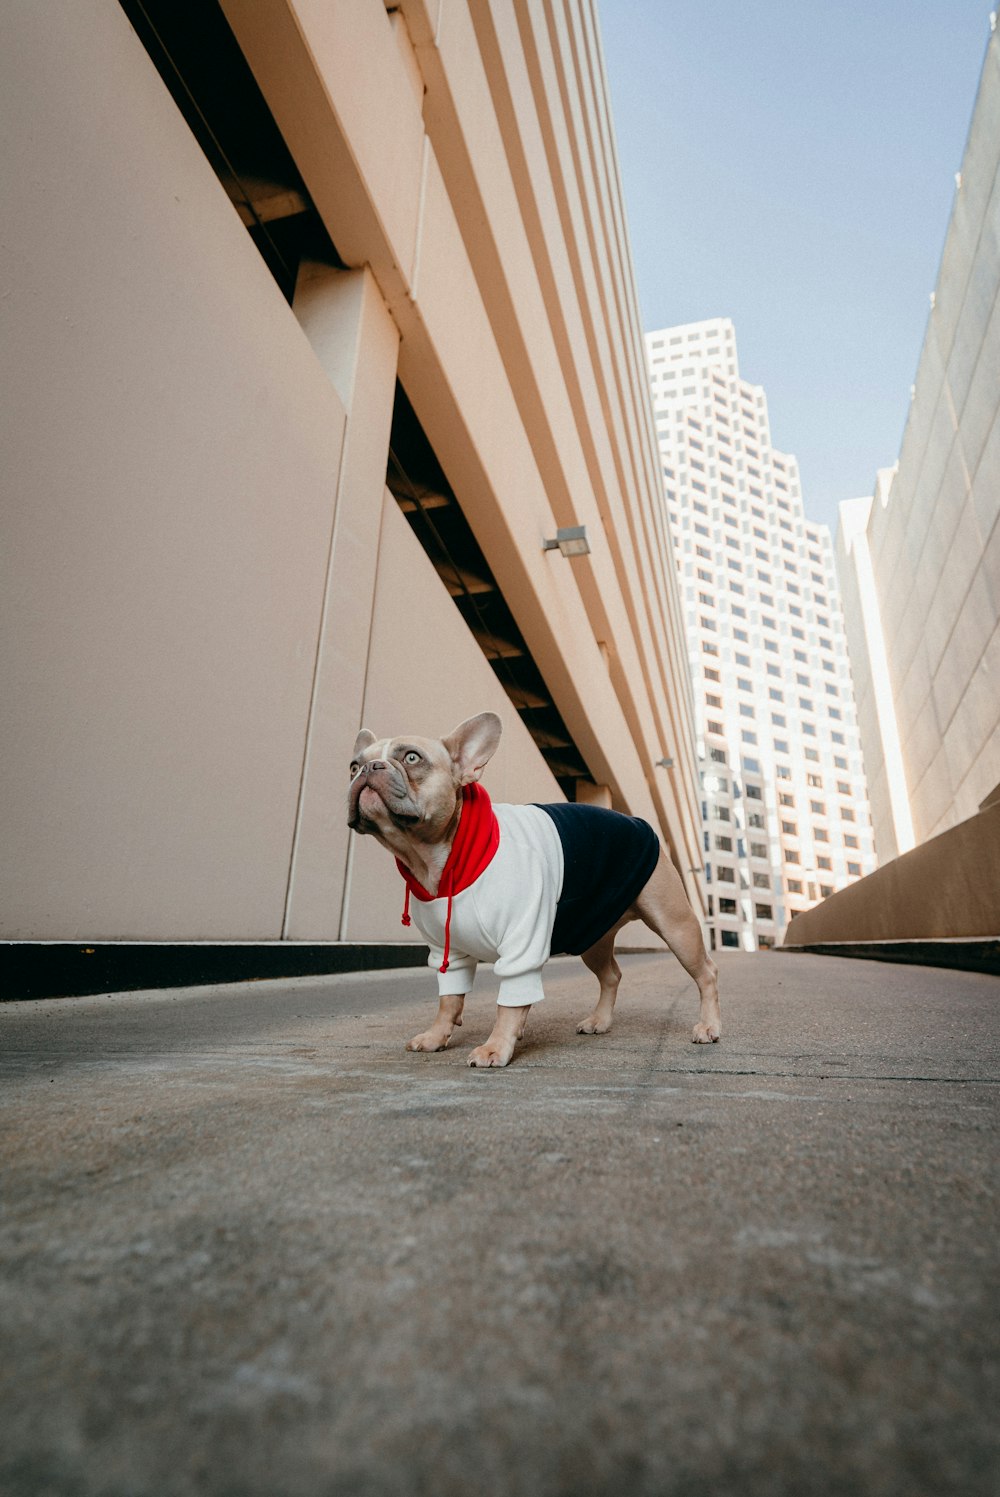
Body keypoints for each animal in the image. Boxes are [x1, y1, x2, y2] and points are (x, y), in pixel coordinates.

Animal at [347, 712, 715, 1065]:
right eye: (352, 765)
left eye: (412, 757)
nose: (367, 768)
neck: (440, 855)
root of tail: (637, 821)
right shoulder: (446, 950)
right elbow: (448, 1000)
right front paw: (437, 1036)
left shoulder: (522, 942)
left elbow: (508, 1002)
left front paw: (496, 1046)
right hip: (592, 936)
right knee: (611, 975)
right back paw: (600, 1021)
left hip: (675, 926)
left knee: (706, 973)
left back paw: (709, 1026)